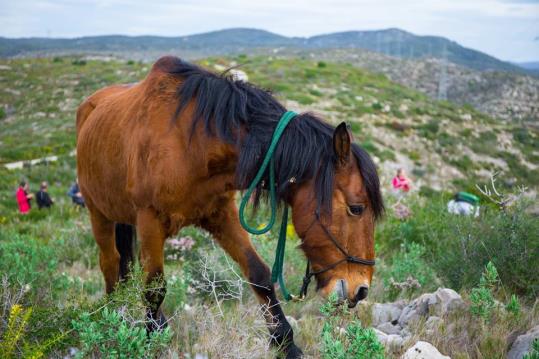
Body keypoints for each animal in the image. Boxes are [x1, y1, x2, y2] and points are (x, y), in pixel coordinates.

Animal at [76, 55, 384, 358]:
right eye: (356, 208)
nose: (361, 290)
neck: (192, 143)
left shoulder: (221, 215)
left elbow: (259, 274)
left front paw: (286, 344)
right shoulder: (150, 220)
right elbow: (154, 289)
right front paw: (150, 343)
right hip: (98, 213)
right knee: (110, 263)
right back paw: (114, 317)